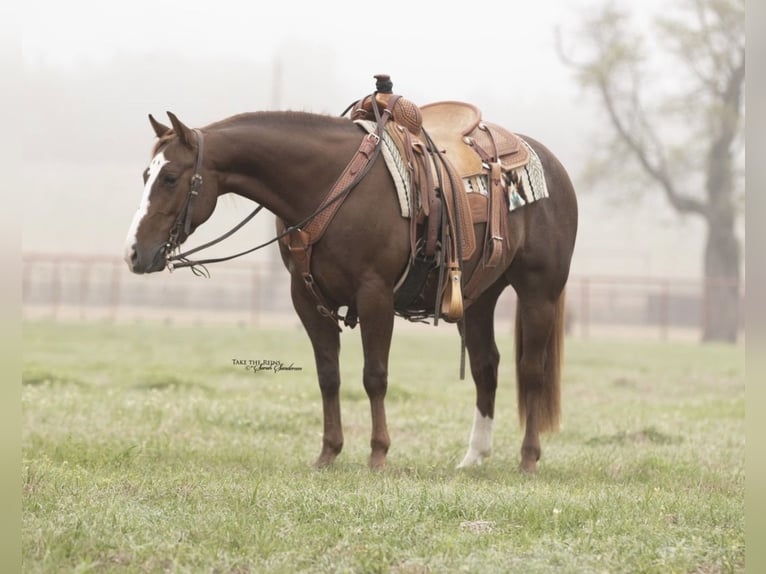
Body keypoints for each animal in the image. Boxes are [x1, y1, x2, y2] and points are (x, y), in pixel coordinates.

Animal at [123, 86, 577, 473]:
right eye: (146, 175)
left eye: (170, 178)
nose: (133, 253)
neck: (330, 183)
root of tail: (551, 164)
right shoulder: (306, 297)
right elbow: (329, 375)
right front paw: (328, 453)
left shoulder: (375, 294)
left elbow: (374, 376)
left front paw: (378, 454)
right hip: (478, 296)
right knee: (487, 366)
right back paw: (473, 457)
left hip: (539, 291)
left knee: (531, 370)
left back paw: (528, 458)